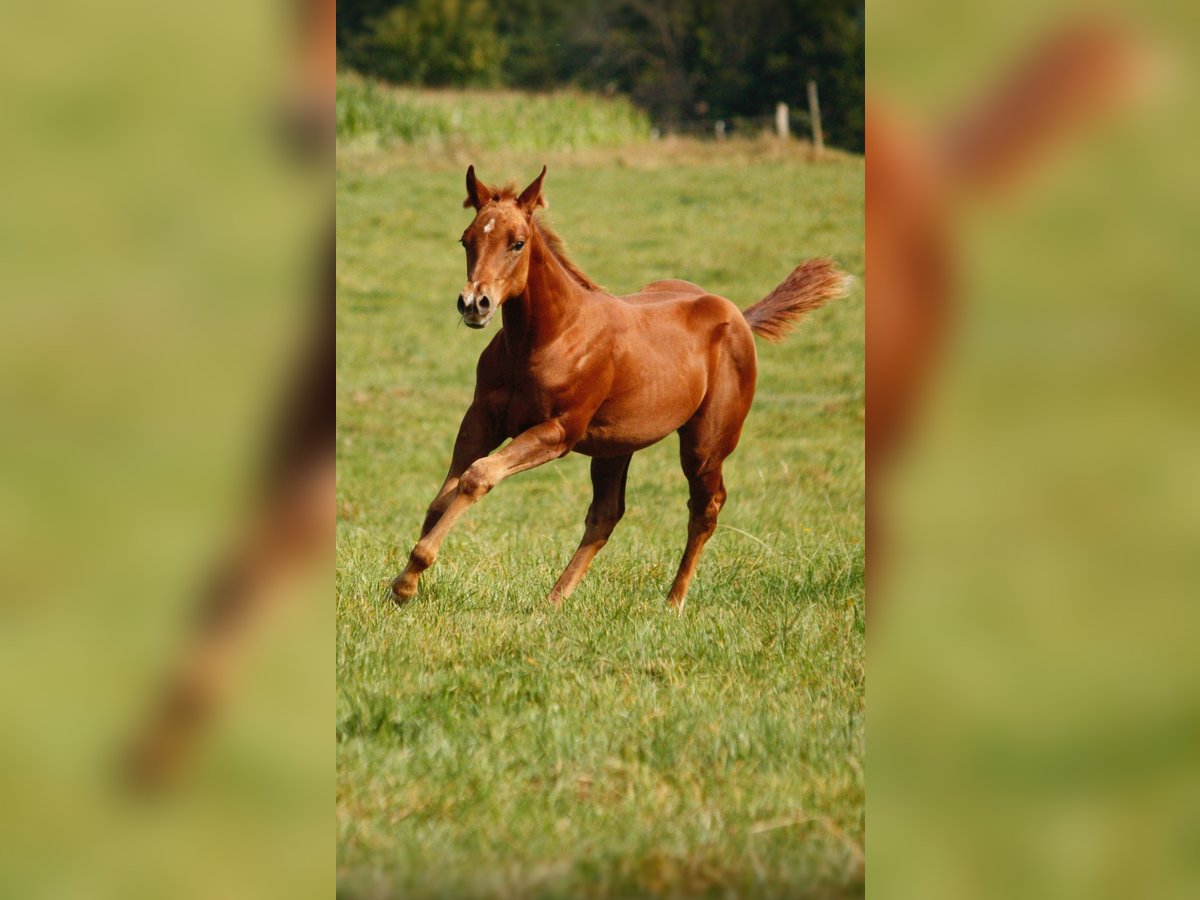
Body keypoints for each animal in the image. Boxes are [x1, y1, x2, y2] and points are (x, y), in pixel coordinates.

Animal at [388, 164, 849, 609]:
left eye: (517, 243)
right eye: (466, 240)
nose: (474, 304)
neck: (549, 335)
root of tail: (737, 313)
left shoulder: (559, 432)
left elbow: (477, 476)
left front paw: (408, 581)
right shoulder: (481, 419)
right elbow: (444, 495)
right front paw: (405, 580)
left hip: (705, 444)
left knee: (705, 507)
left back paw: (673, 601)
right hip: (615, 446)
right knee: (606, 514)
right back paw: (553, 601)